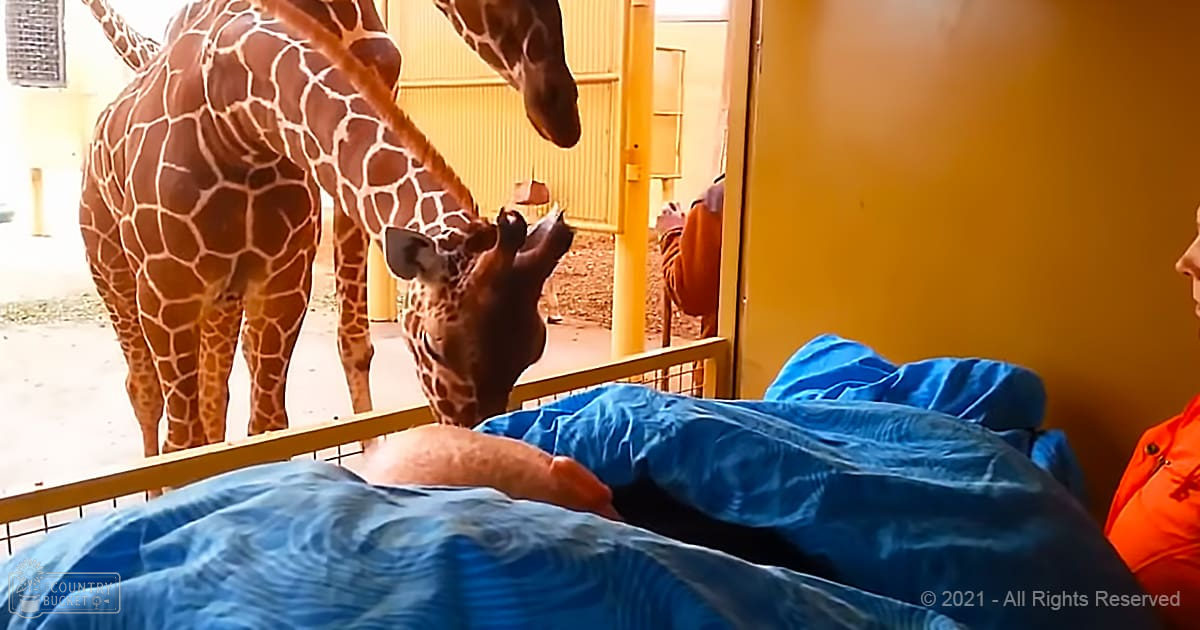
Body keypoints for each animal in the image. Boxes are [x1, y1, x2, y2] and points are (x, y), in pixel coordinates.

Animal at [78, 0, 577, 461]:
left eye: (533, 351)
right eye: (432, 346)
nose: (560, 114)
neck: (234, 117)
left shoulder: (282, 284)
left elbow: (267, 427)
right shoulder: (168, 293)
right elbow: (182, 445)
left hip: (222, 297)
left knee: (214, 391)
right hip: (113, 271)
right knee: (145, 392)